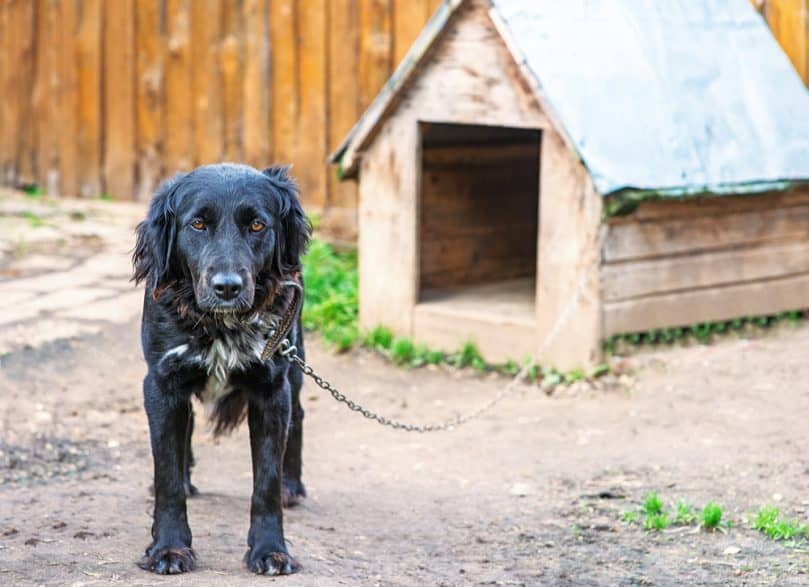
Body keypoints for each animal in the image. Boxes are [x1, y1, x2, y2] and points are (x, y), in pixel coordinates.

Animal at [133, 163, 310, 576]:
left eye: (258, 225)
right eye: (197, 224)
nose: (227, 287)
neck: (219, 325)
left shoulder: (272, 389)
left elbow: (266, 482)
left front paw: (271, 550)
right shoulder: (162, 383)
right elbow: (166, 474)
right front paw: (169, 547)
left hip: (295, 364)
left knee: (299, 417)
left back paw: (293, 486)